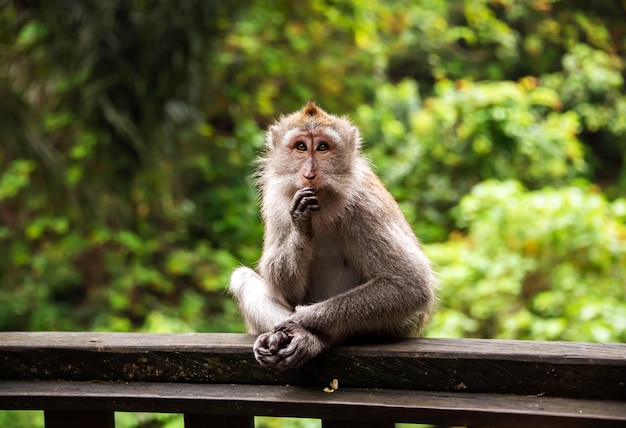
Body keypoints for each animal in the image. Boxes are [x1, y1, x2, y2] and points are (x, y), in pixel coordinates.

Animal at [227, 101, 436, 372]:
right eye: (301, 147)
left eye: (322, 147)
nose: (309, 173)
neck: (324, 203)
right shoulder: (274, 202)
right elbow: (284, 290)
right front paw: (301, 224)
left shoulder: (366, 206)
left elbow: (409, 285)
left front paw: (303, 319)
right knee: (242, 278)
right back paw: (279, 337)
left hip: (400, 326)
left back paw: (311, 338)